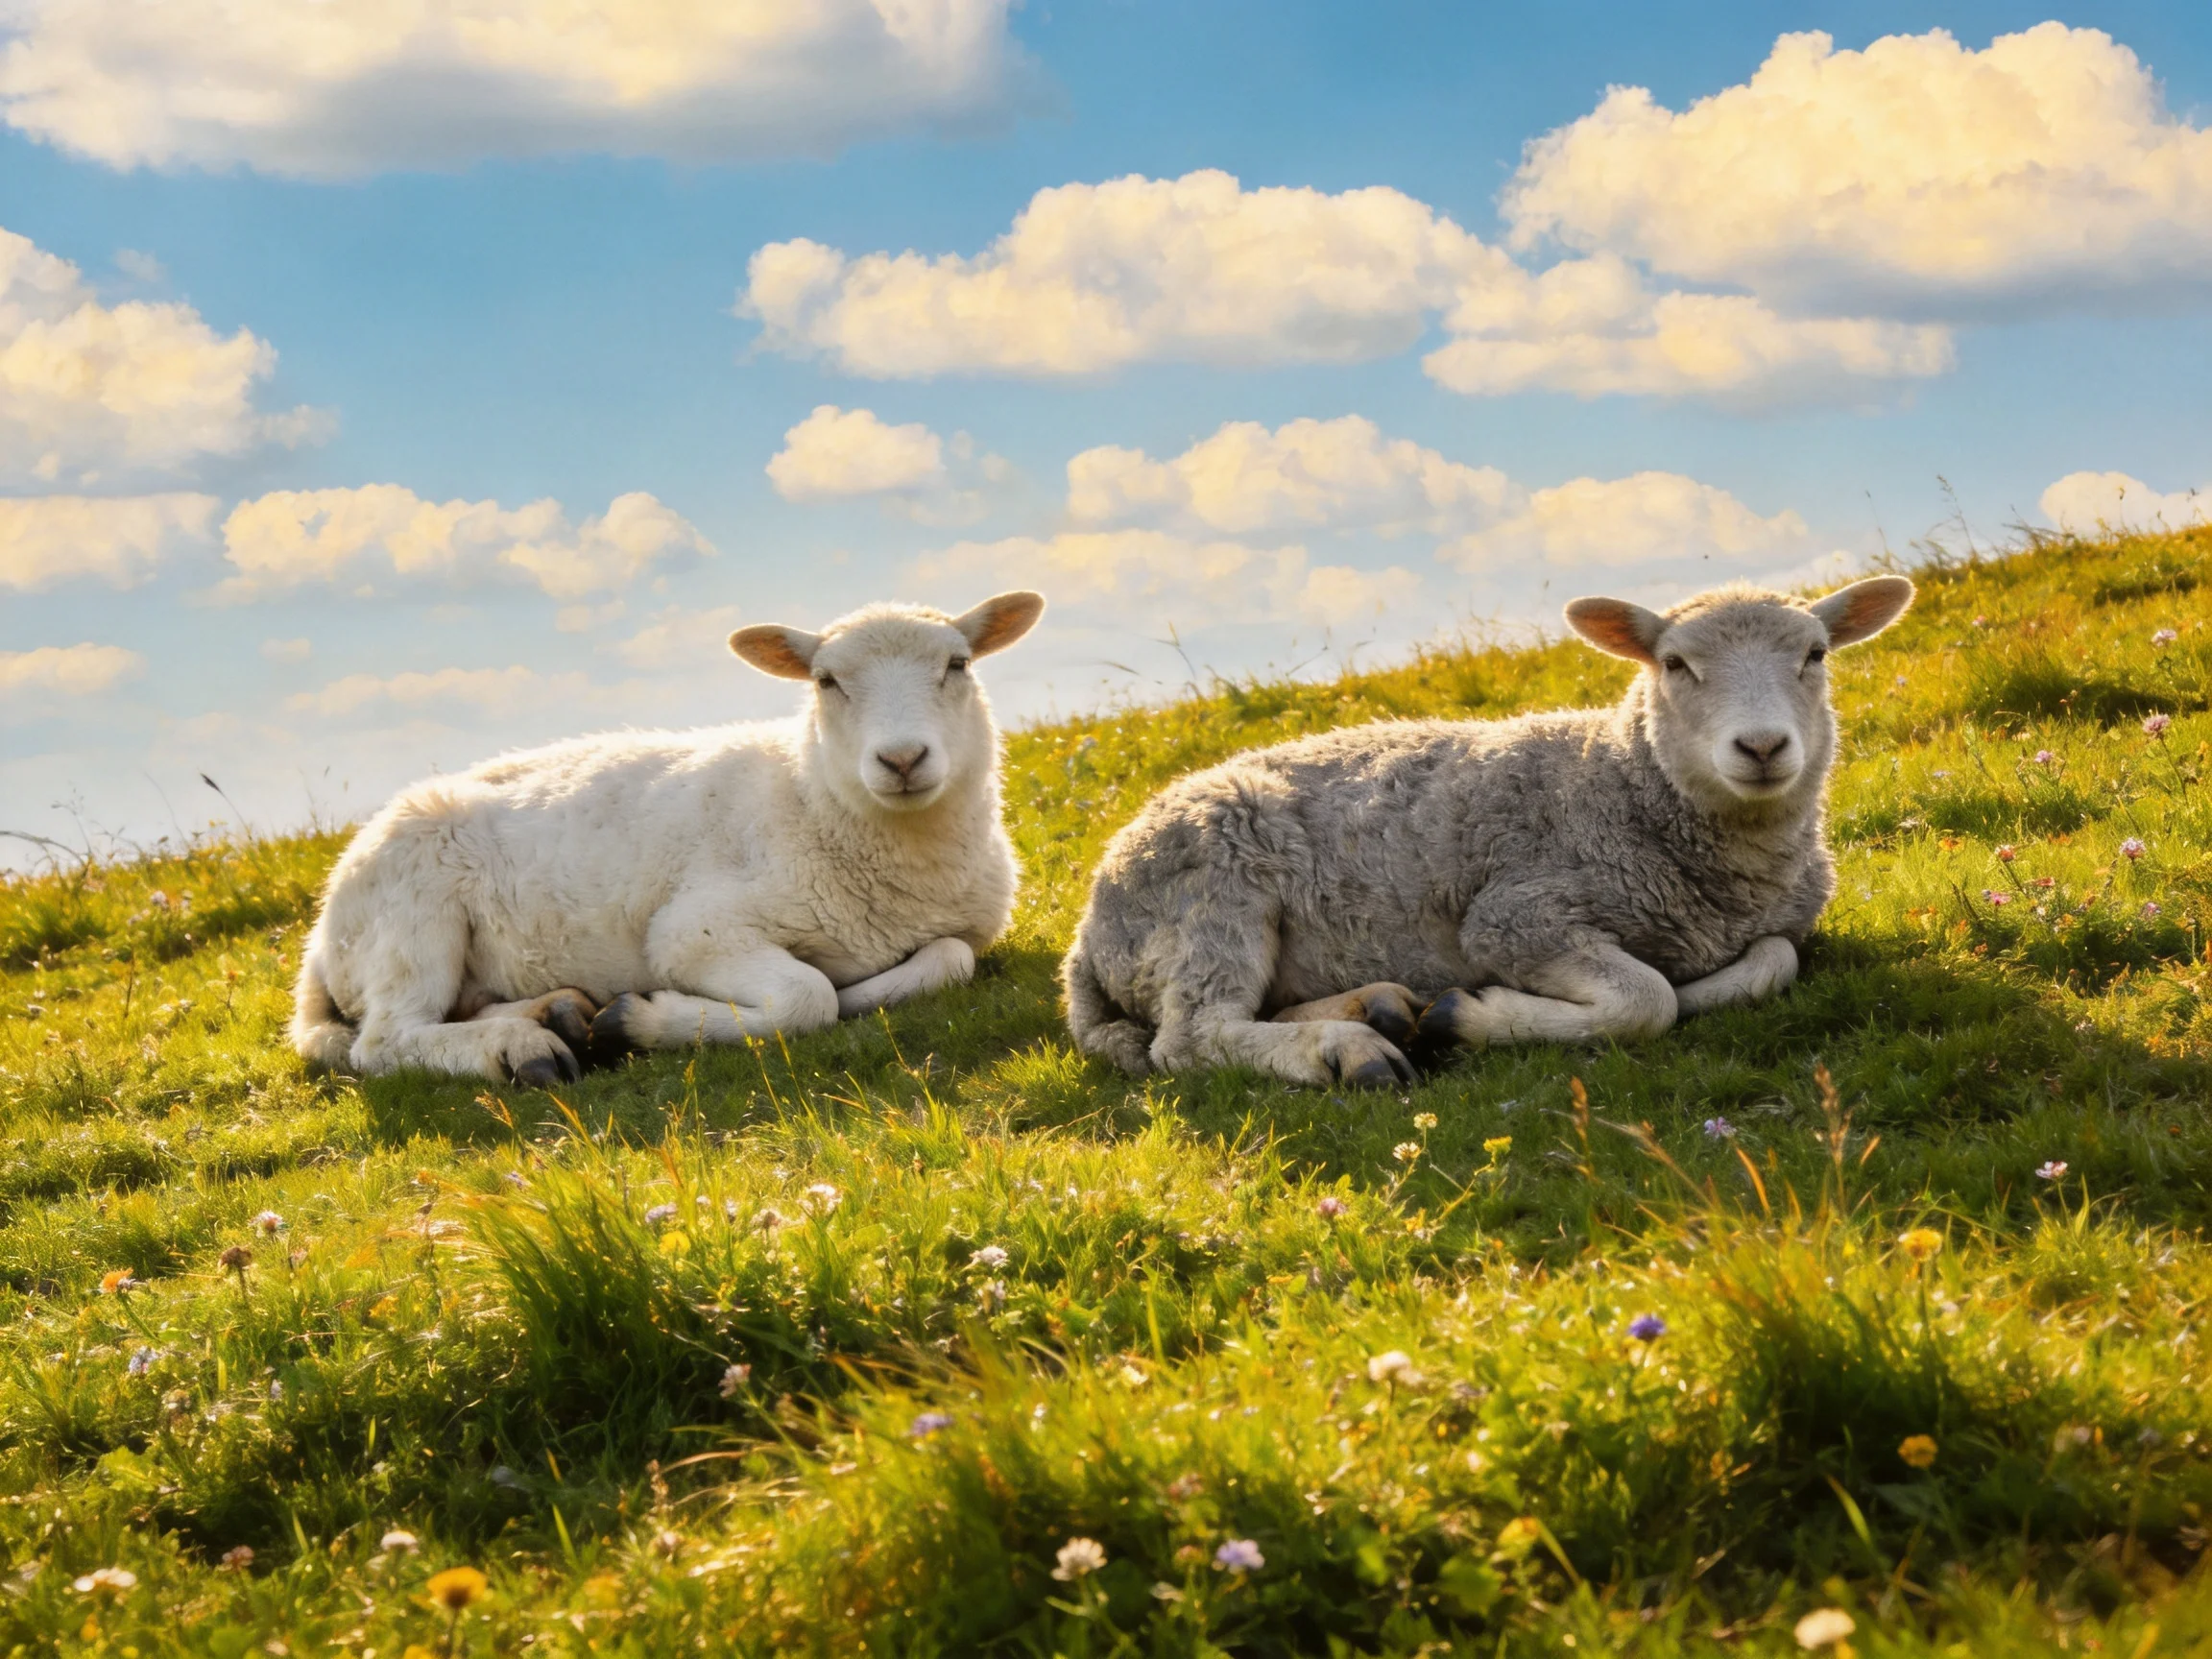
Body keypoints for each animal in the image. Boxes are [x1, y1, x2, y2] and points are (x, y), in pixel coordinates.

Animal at [290, 590, 1044, 1086]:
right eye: (826, 681)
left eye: (958, 665)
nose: (903, 759)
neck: (810, 796)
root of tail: (319, 943)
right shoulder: (693, 932)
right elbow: (809, 998)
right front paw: (641, 1019)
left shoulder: (959, 932)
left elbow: (948, 959)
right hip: (411, 919)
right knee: (385, 1041)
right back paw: (521, 1048)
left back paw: (556, 1012)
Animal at [1061, 576, 1913, 1088]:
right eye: (1675, 664)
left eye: (1815, 654)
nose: (1763, 747)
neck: (1617, 780)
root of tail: (1086, 935)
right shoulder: (1516, 915)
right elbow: (1648, 1000)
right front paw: (1469, 1015)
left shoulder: (1777, 923)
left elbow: (1769, 962)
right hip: (1213, 885)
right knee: (1192, 1036)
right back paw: (1350, 1050)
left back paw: (1374, 1009)